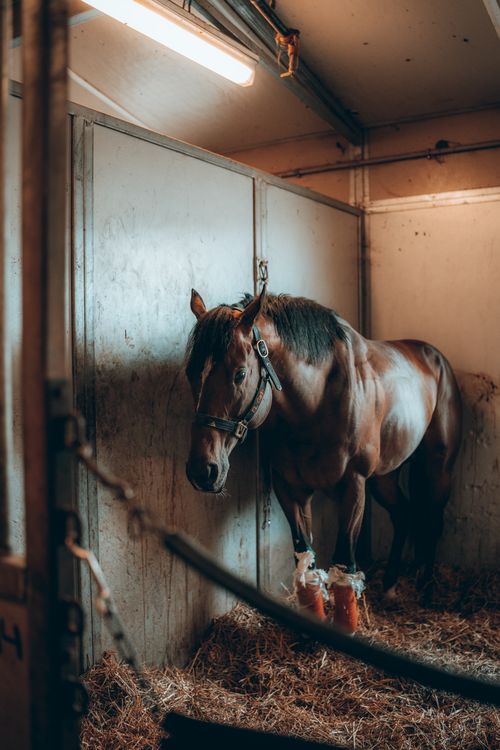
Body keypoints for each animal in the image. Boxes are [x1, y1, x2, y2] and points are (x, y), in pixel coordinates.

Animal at [184, 286, 462, 597]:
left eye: (240, 374)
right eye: (190, 372)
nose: (202, 470)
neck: (315, 403)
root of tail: (434, 357)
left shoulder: (353, 487)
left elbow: (345, 566)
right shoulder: (290, 488)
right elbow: (305, 561)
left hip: (438, 468)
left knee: (433, 521)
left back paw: (425, 589)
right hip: (385, 476)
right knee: (403, 515)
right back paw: (390, 584)